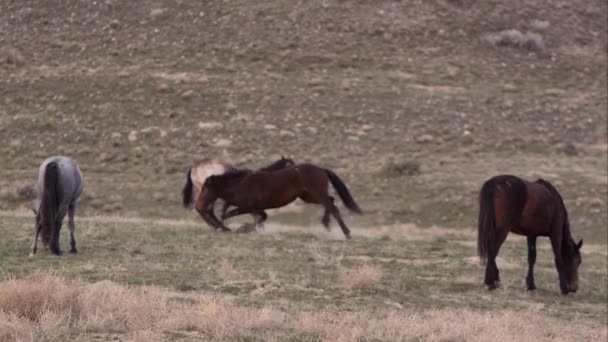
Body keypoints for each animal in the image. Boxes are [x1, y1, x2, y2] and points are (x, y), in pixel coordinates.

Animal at [197, 164, 364, 239]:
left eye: (205, 189)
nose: (198, 205)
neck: (241, 184)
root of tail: (322, 170)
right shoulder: (256, 208)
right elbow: (261, 218)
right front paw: (245, 228)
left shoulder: (248, 207)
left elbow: (228, 215)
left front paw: (238, 228)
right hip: (308, 197)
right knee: (331, 202)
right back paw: (327, 224)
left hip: (315, 194)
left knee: (332, 206)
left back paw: (346, 233)